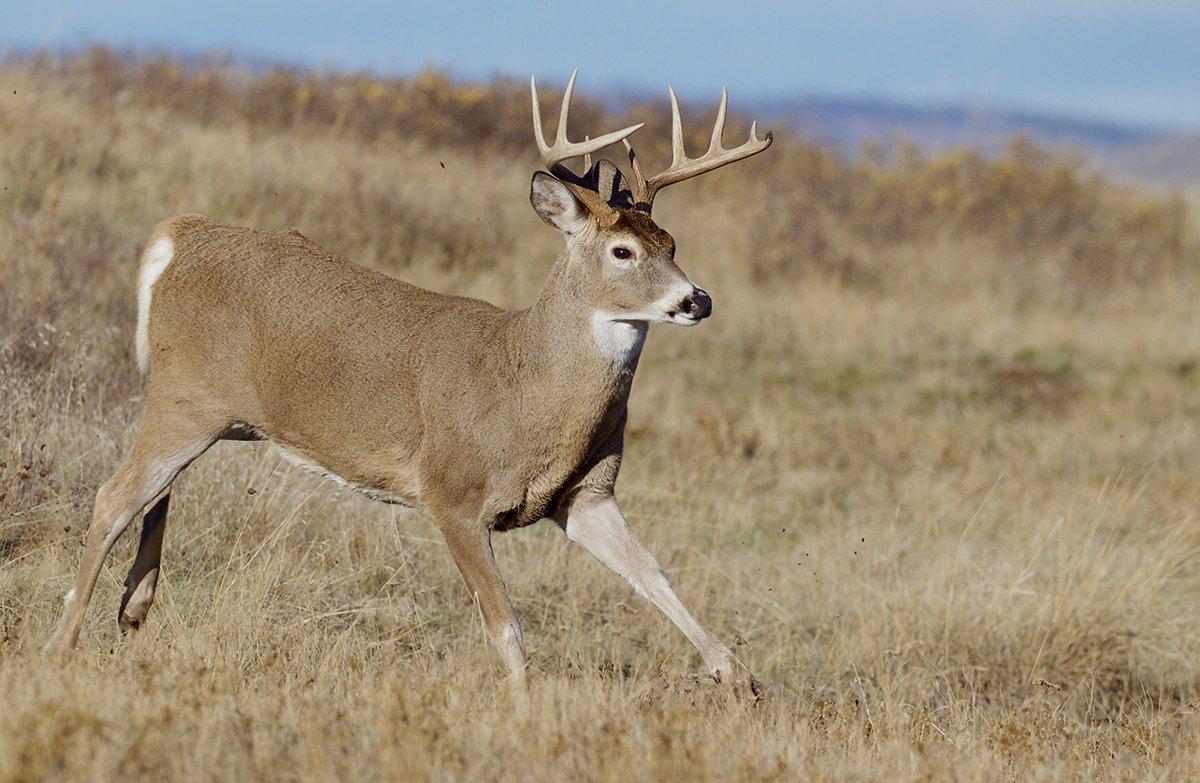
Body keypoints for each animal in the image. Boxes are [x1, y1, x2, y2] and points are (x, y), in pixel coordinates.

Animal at [44, 73, 768, 696]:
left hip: (216, 414)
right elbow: (505, 625)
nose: (697, 299)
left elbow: (655, 575)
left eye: (671, 243)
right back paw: (63, 643)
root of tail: (177, 236)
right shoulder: (452, 491)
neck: (524, 385)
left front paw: (740, 677)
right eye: (622, 251)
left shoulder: (585, 492)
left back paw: (134, 607)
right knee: (113, 498)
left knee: (156, 491)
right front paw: (524, 710)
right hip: (184, 397)